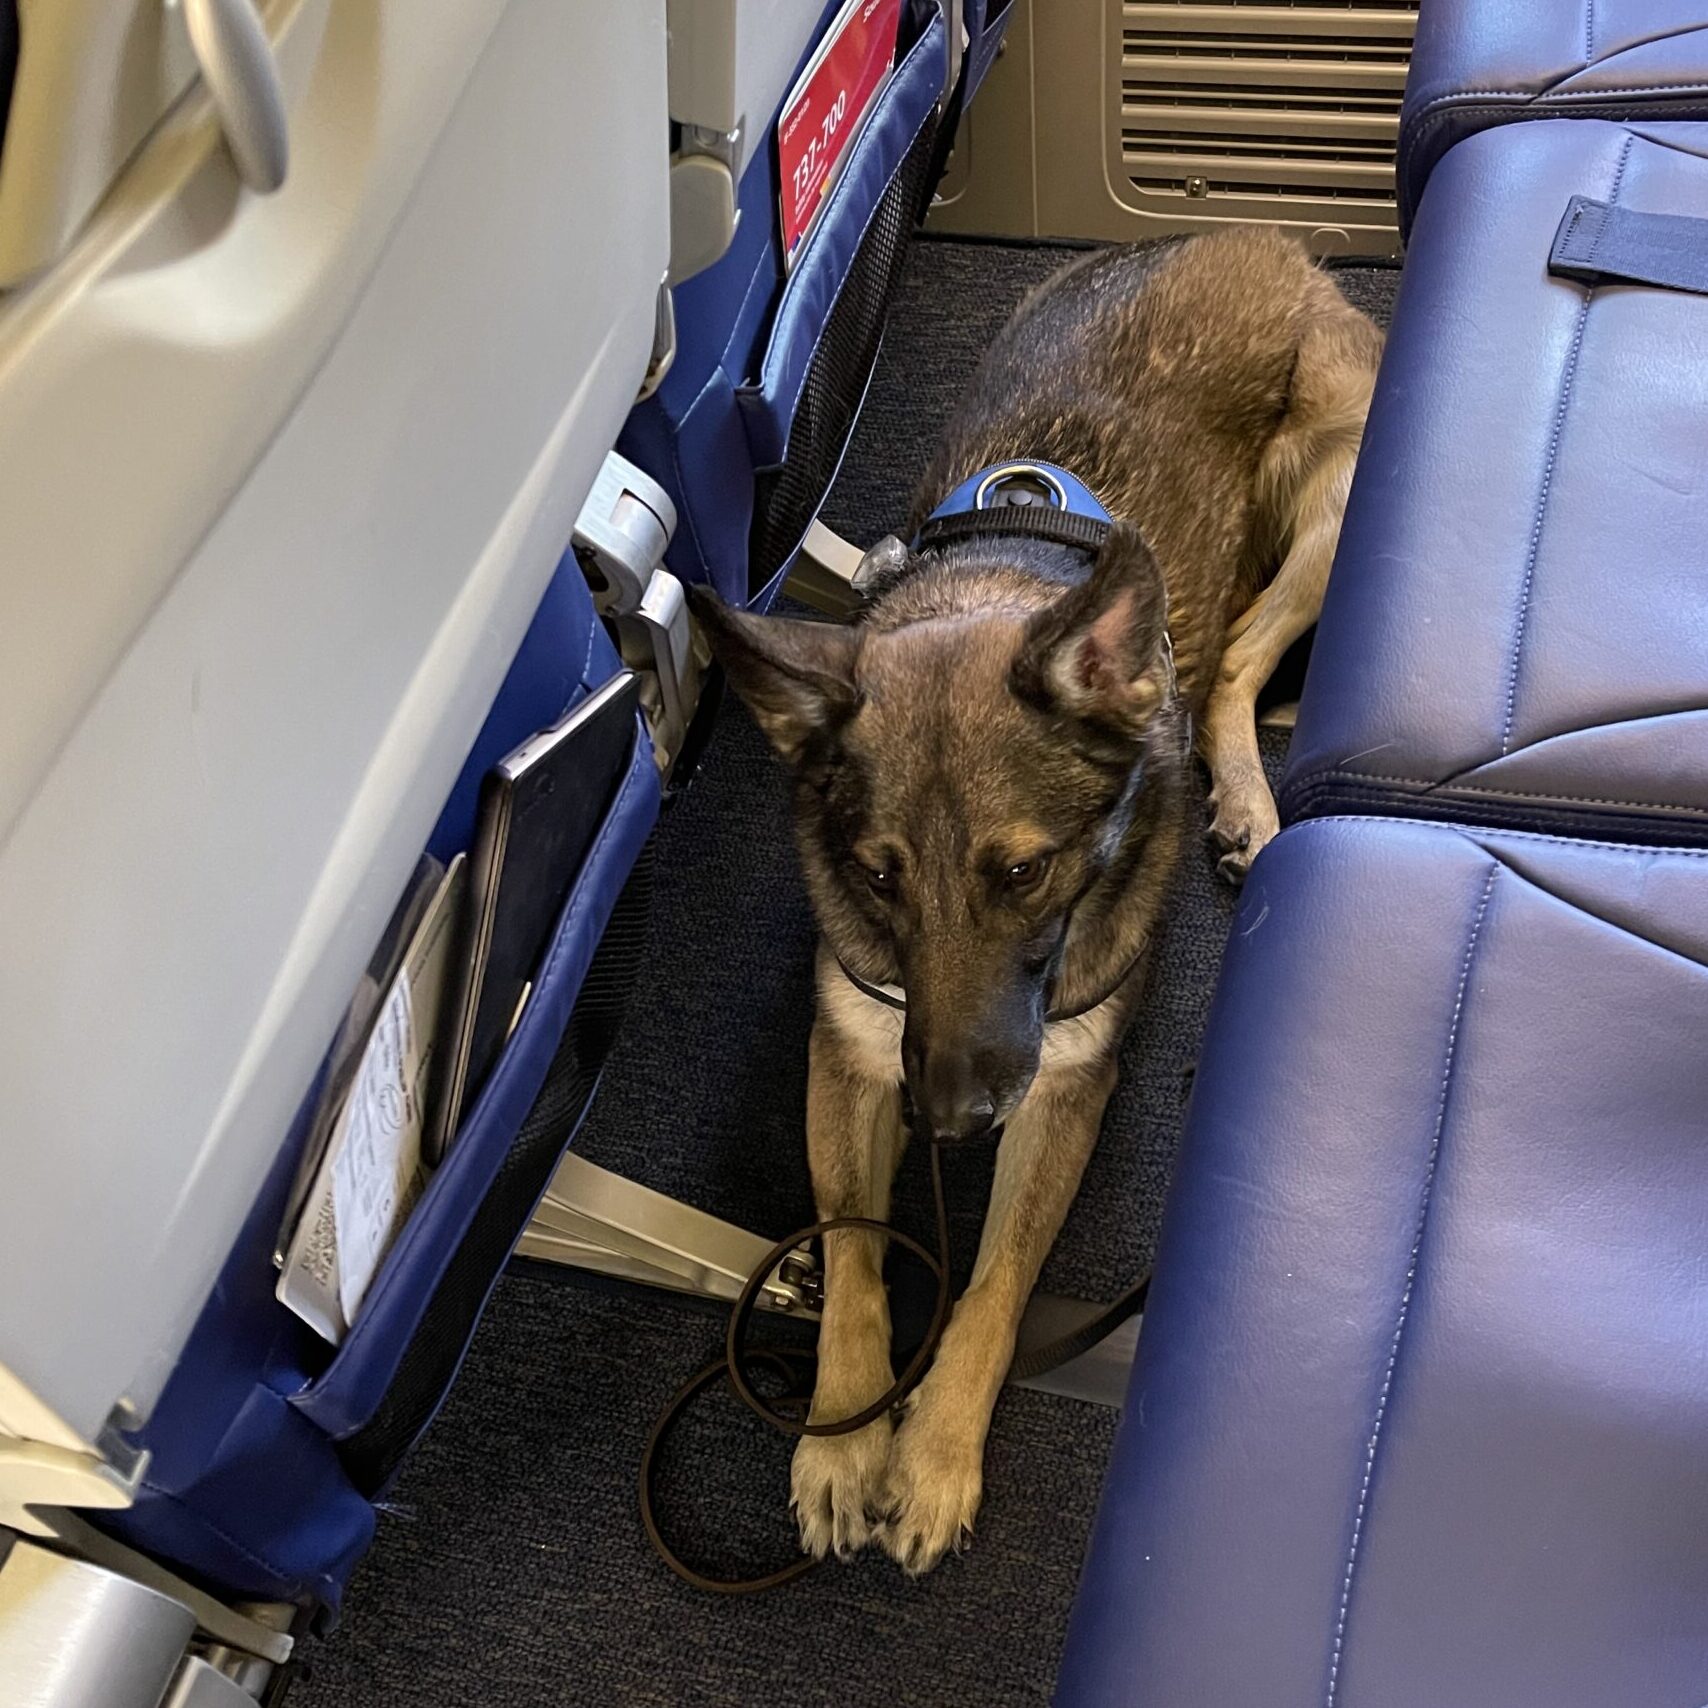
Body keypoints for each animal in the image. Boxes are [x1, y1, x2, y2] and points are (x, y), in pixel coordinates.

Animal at [686, 230, 1380, 1571]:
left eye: (1024, 872)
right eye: (878, 876)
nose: (952, 1120)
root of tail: (1265, 241)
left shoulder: (1063, 1090)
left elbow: (998, 1281)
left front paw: (936, 1452)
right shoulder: (855, 1050)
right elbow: (854, 1246)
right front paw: (844, 1430)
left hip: (1334, 509)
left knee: (1233, 655)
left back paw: (1242, 796)